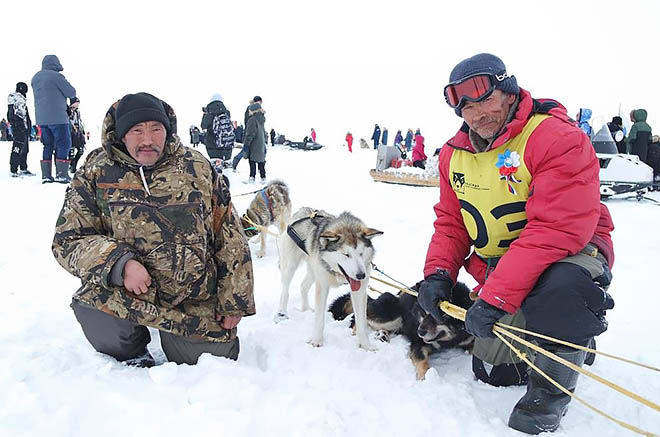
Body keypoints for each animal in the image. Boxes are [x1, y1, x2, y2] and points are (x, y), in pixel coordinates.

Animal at [278, 206, 382, 350]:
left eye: (361, 253)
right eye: (346, 254)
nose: (361, 275)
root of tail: (302, 210)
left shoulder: (360, 291)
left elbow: (361, 322)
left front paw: (366, 346)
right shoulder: (322, 286)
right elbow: (319, 320)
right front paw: (316, 340)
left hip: (313, 270)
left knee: (303, 286)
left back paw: (306, 309)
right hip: (291, 267)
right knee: (285, 290)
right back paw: (282, 313)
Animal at [330, 282, 474, 380]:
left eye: (441, 316)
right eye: (424, 312)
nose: (420, 332)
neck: (449, 340)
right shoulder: (418, 344)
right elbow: (422, 360)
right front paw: (424, 377)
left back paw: (382, 335)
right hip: (391, 315)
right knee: (361, 315)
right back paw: (358, 335)